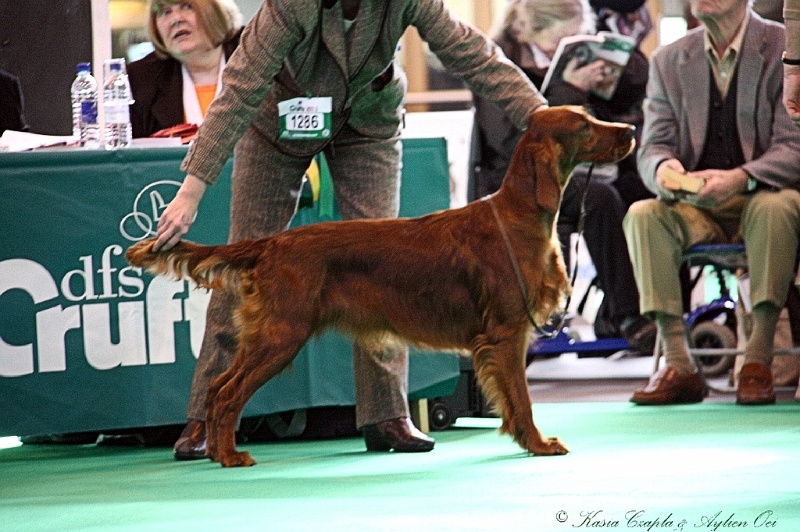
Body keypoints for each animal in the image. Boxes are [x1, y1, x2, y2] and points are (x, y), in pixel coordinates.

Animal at [128, 106, 636, 468]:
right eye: (584, 126)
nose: (630, 128)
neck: (519, 216)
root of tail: (271, 242)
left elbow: (512, 402)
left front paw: (524, 441)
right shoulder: (507, 333)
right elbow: (523, 400)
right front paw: (539, 443)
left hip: (272, 336)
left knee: (217, 388)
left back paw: (218, 451)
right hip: (282, 335)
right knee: (228, 392)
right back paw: (231, 455)